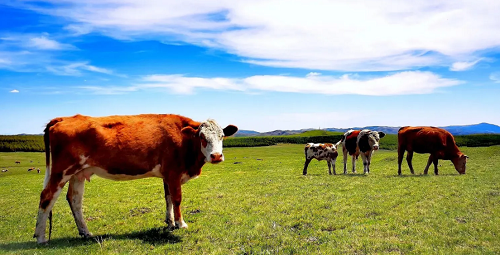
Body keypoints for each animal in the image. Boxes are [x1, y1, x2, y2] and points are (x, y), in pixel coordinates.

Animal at [33, 113, 238, 243]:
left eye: (222, 136)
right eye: (202, 137)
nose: (216, 156)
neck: (183, 141)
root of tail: (64, 118)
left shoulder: (167, 175)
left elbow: (168, 199)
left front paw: (170, 222)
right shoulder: (173, 172)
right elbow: (177, 199)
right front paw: (181, 224)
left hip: (78, 173)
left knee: (74, 200)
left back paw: (86, 233)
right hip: (61, 171)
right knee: (46, 197)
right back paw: (41, 238)